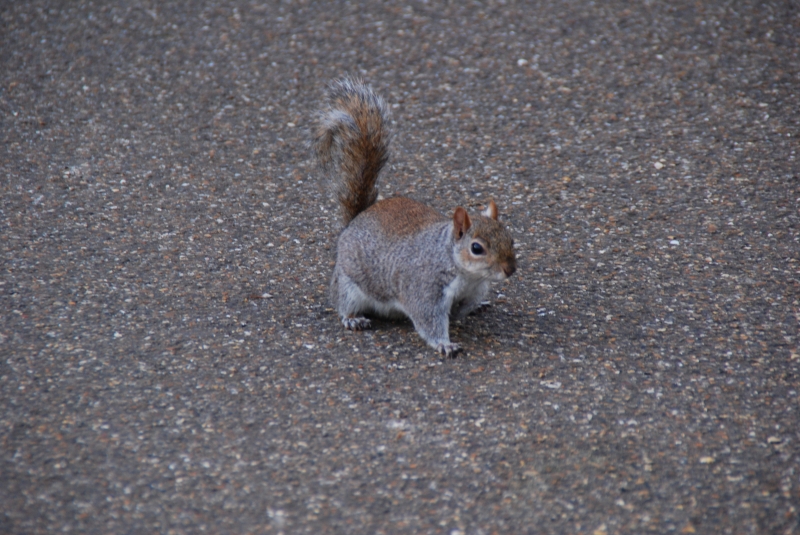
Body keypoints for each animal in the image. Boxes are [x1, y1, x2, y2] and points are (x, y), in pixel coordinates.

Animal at [310, 77, 516, 358]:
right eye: (476, 248)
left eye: (511, 239)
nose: (510, 269)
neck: (466, 274)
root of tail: (354, 221)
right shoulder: (424, 289)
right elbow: (428, 319)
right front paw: (445, 344)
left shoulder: (473, 290)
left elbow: (462, 307)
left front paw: (469, 310)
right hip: (349, 283)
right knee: (341, 300)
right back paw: (352, 318)